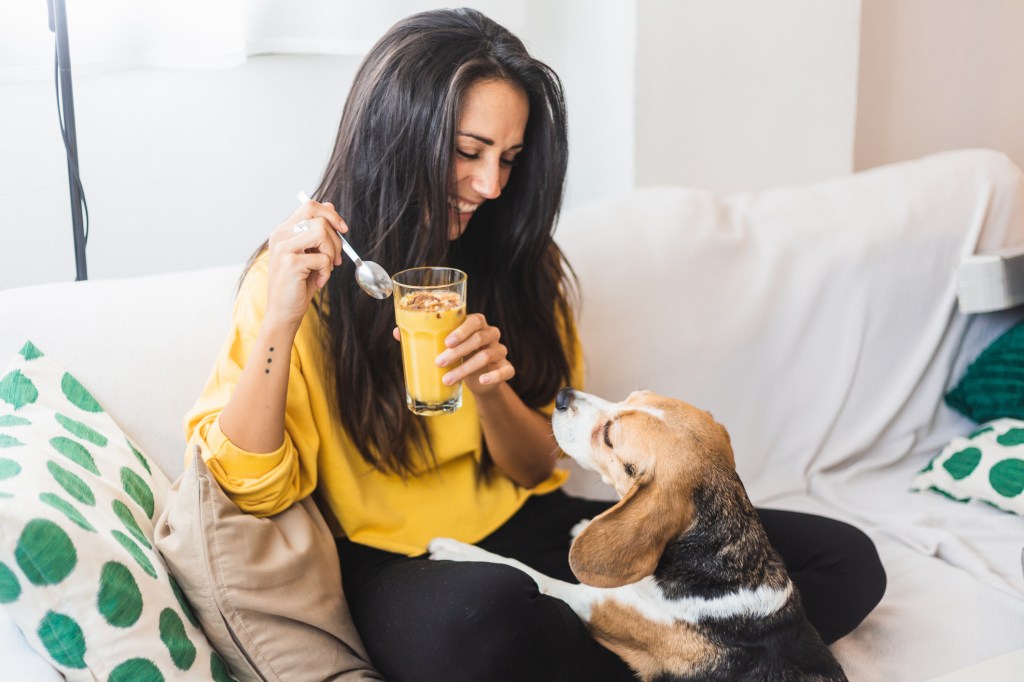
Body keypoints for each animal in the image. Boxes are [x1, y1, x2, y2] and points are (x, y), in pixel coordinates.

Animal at [428, 387, 843, 679]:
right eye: (628, 397)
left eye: (610, 436)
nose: (561, 396)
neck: (716, 561)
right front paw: (585, 526)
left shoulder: (595, 605)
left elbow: (532, 573)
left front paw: (459, 550)